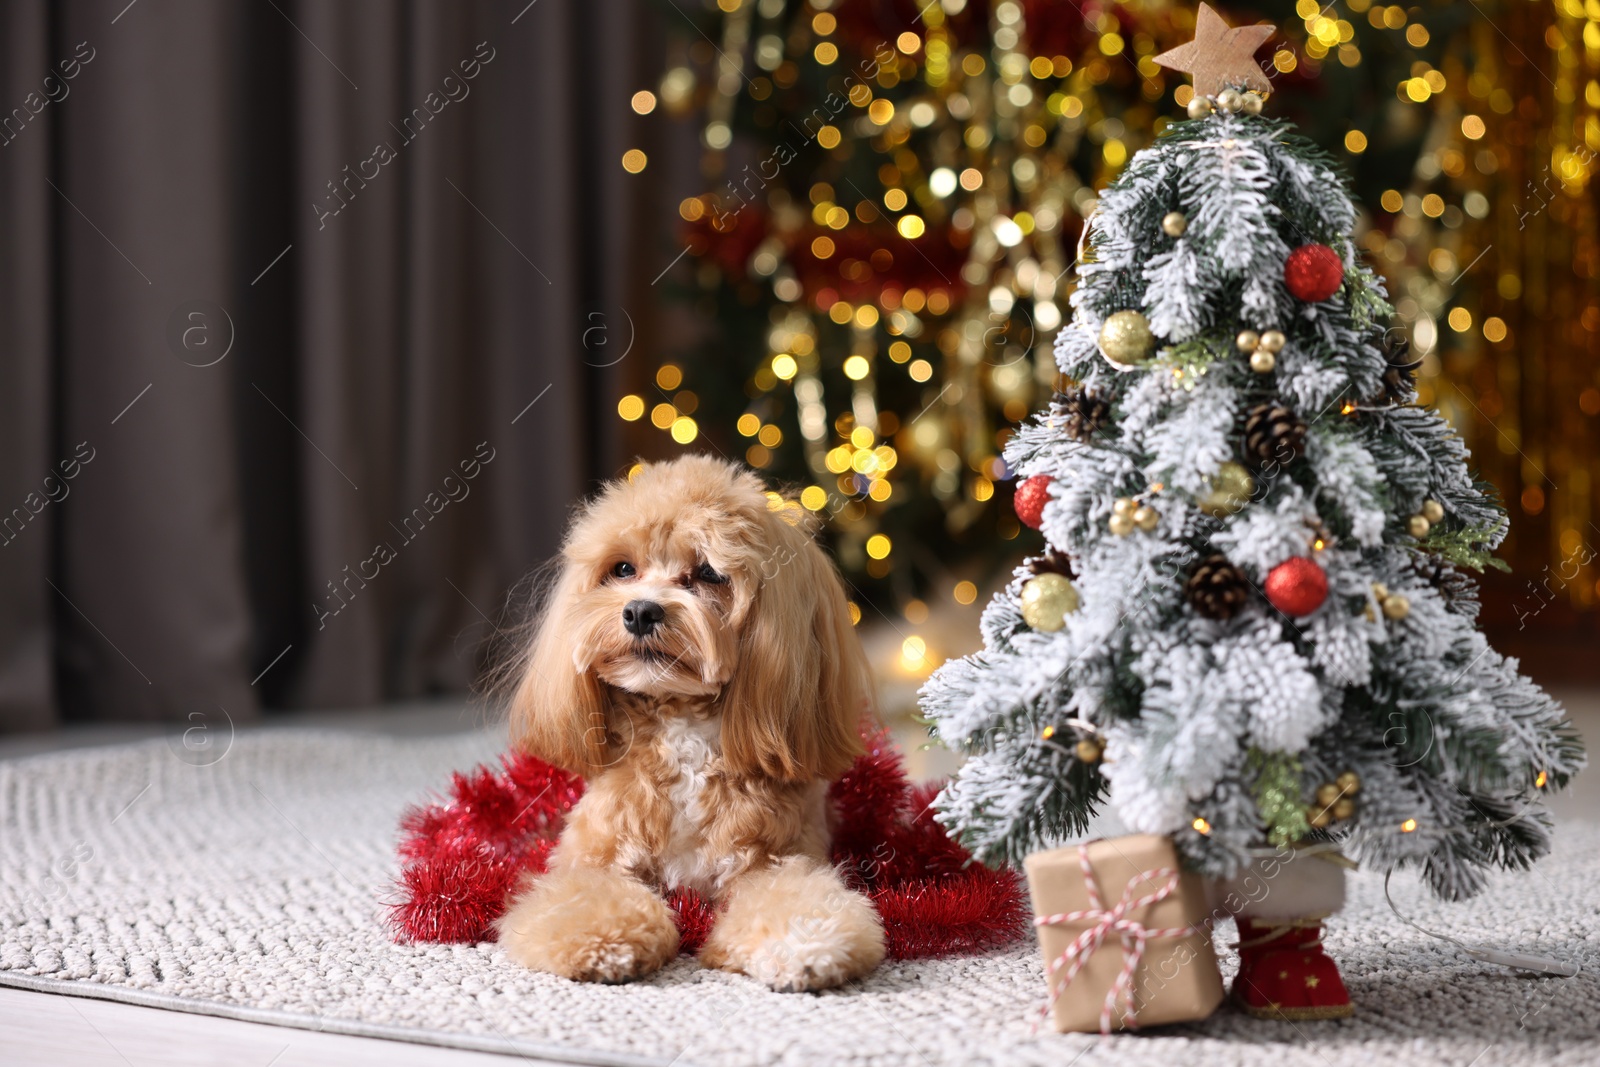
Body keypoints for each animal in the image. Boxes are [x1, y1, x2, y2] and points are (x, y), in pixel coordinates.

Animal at [492, 454, 883, 991]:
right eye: (622, 569)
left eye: (709, 573)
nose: (640, 611)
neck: (683, 727)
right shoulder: (592, 857)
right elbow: (587, 894)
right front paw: (603, 940)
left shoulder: (777, 859)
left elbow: (793, 897)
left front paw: (807, 945)